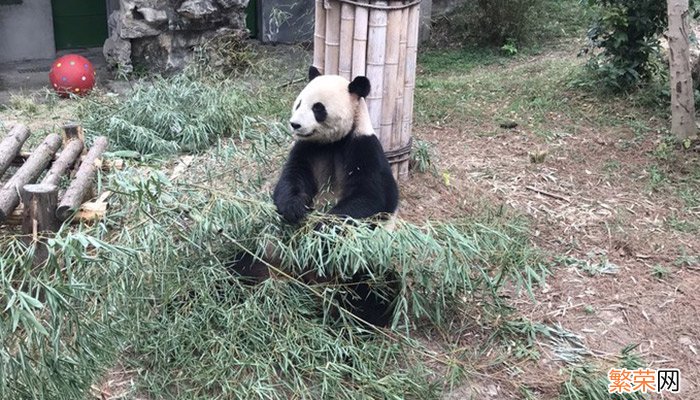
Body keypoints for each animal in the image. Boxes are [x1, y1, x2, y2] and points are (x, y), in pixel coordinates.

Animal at [230, 66, 400, 328]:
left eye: (318, 108)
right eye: (299, 103)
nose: (295, 124)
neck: (333, 143)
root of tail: (307, 278)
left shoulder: (364, 148)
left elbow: (371, 198)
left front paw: (321, 227)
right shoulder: (307, 150)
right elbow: (291, 180)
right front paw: (295, 208)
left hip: (360, 262)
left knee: (376, 289)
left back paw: (362, 319)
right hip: (272, 250)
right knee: (244, 261)